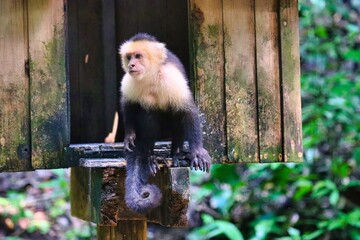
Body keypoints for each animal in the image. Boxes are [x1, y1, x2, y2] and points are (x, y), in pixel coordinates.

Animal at [119, 33, 211, 214]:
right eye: (129, 57)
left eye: (138, 56)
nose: (131, 64)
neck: (150, 76)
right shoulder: (129, 81)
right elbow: (128, 105)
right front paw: (129, 136)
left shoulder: (171, 77)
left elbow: (188, 111)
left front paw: (197, 151)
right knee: (148, 113)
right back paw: (150, 156)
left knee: (176, 113)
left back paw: (176, 152)